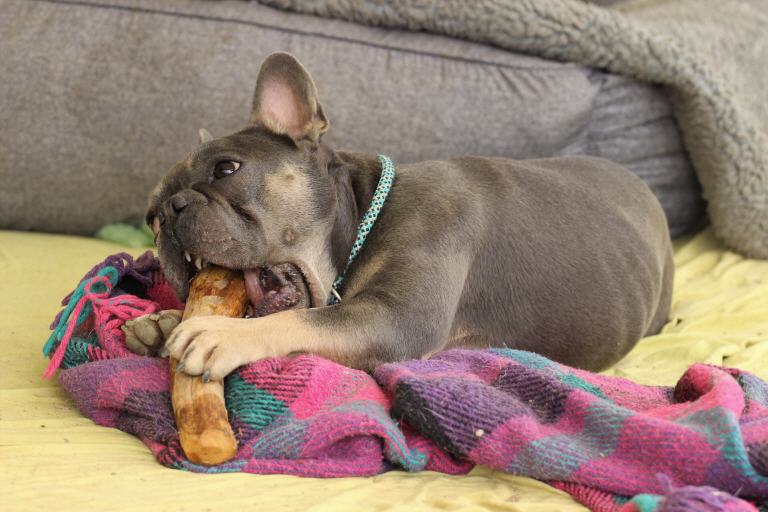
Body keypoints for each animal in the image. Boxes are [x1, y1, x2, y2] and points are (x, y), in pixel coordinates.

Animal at [123, 52, 674, 382]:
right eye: (150, 217)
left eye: (227, 169)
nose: (170, 211)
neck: (366, 214)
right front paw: (163, 322)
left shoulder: (396, 319)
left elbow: (305, 319)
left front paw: (221, 333)